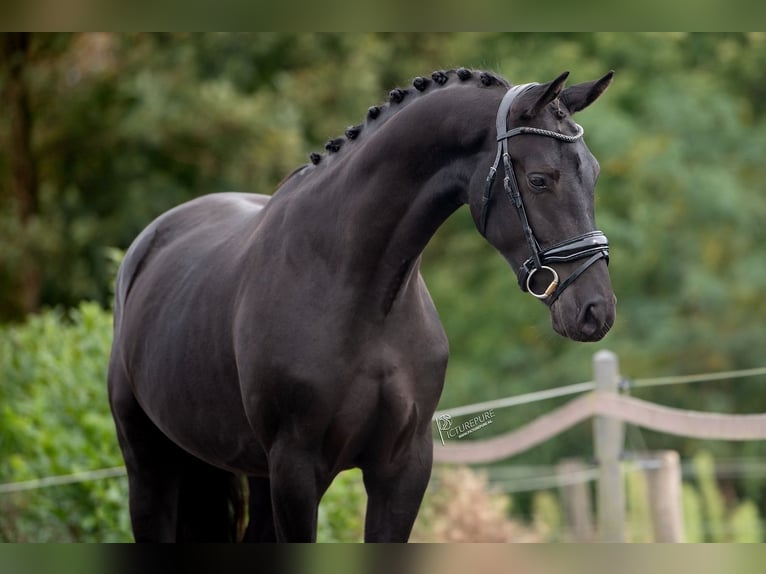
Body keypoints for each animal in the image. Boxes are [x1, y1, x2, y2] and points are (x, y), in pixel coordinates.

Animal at [108, 68, 616, 544]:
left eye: (592, 173)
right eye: (539, 179)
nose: (596, 310)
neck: (361, 296)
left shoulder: (403, 468)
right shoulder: (295, 471)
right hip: (151, 468)